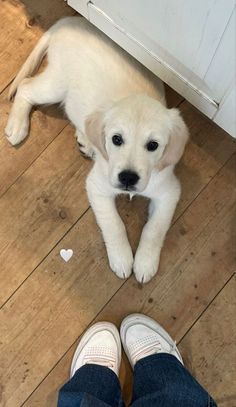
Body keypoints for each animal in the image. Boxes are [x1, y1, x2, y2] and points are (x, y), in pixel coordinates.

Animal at [5, 16, 188, 284]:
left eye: (153, 145)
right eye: (116, 139)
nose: (128, 178)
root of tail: (69, 21)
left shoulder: (168, 191)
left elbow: (155, 228)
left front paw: (145, 263)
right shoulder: (97, 187)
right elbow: (114, 223)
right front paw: (122, 258)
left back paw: (85, 139)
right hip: (57, 83)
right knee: (27, 87)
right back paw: (17, 125)